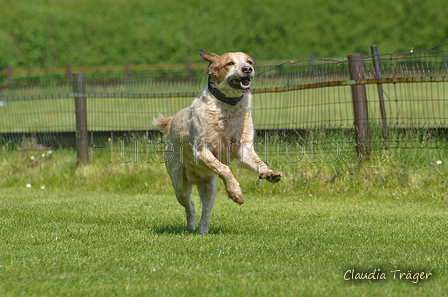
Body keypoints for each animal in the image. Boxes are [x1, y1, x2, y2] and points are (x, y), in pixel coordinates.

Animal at [152, 49, 282, 234]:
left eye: (249, 61)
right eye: (230, 63)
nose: (247, 69)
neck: (228, 106)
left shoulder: (244, 148)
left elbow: (257, 162)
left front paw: (270, 174)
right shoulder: (201, 151)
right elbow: (225, 168)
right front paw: (236, 193)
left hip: (209, 186)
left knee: (205, 209)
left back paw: (203, 230)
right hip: (179, 182)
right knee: (190, 205)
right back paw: (191, 225)